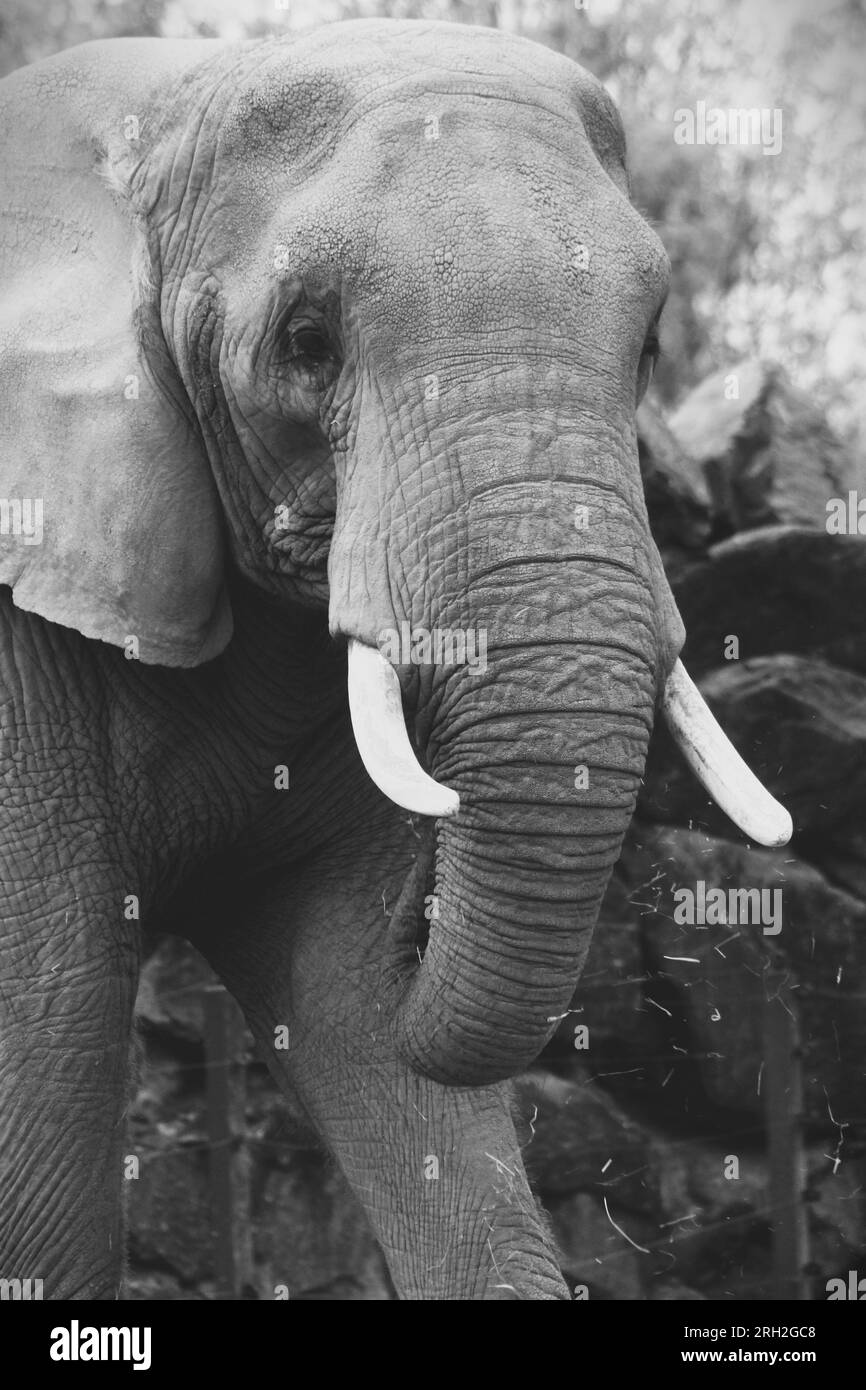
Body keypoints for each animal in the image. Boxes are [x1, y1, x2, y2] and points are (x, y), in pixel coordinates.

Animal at [0, 18, 791, 1300]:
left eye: (651, 344)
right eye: (306, 340)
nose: (420, 915)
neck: (157, 107)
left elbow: (349, 1006)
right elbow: (48, 1032)